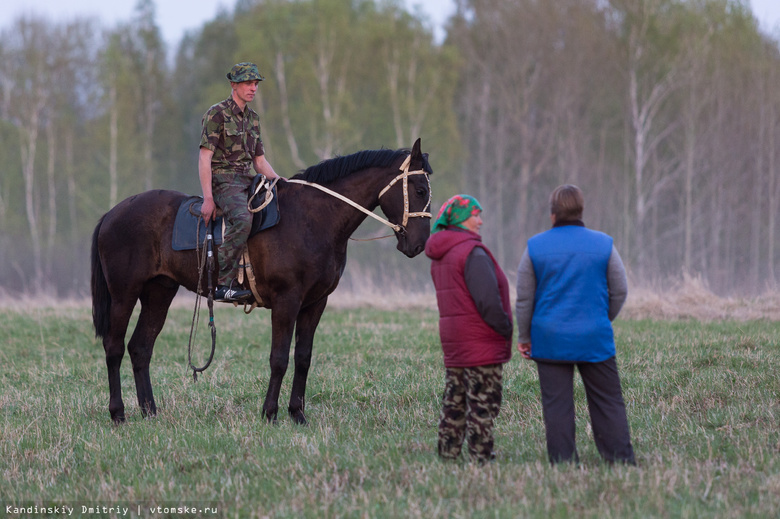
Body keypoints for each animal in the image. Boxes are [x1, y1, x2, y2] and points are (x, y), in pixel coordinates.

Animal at [93, 139, 432, 426]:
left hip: (159, 293)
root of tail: (113, 212)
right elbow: (279, 359)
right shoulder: (286, 301)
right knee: (114, 347)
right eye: (418, 190)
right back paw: (118, 413)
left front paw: (297, 414)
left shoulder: (315, 303)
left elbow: (303, 358)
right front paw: (270, 413)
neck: (313, 218)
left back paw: (150, 411)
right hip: (124, 294)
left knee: (140, 348)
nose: (418, 244)